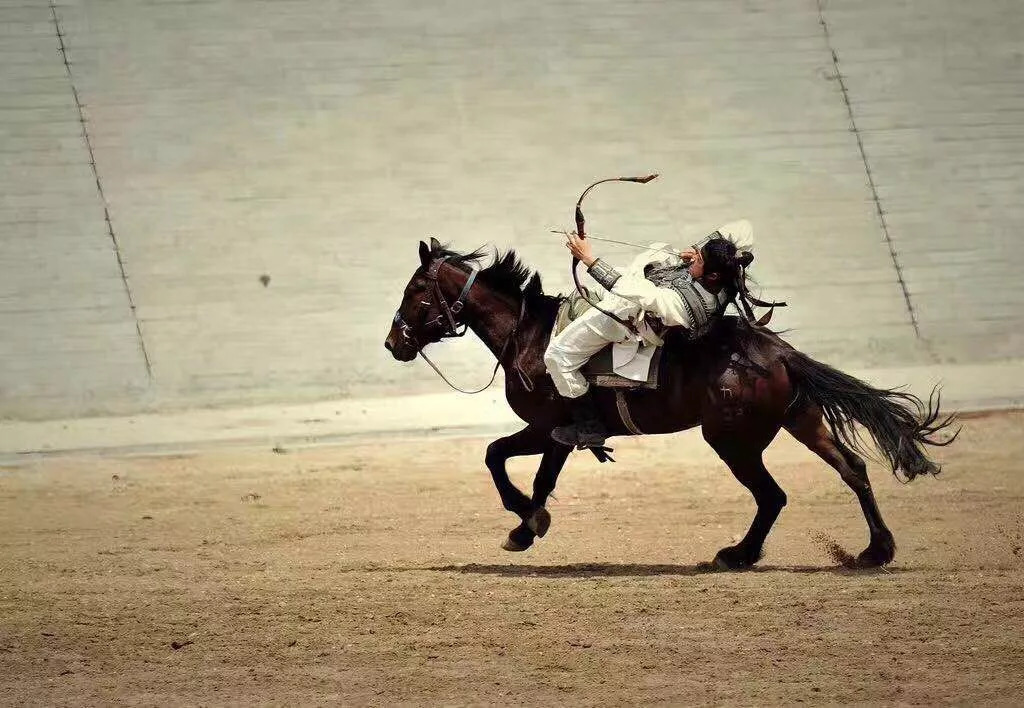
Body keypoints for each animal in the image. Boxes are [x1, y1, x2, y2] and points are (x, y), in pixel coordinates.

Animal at [385, 237, 958, 569]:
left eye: (414, 290)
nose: (393, 343)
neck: (530, 335)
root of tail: (778, 352)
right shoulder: (556, 436)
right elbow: (522, 469)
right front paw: (528, 524)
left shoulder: (551, 430)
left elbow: (505, 461)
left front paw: (525, 526)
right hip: (802, 422)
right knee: (853, 469)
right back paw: (874, 551)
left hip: (732, 442)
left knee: (773, 495)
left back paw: (738, 555)